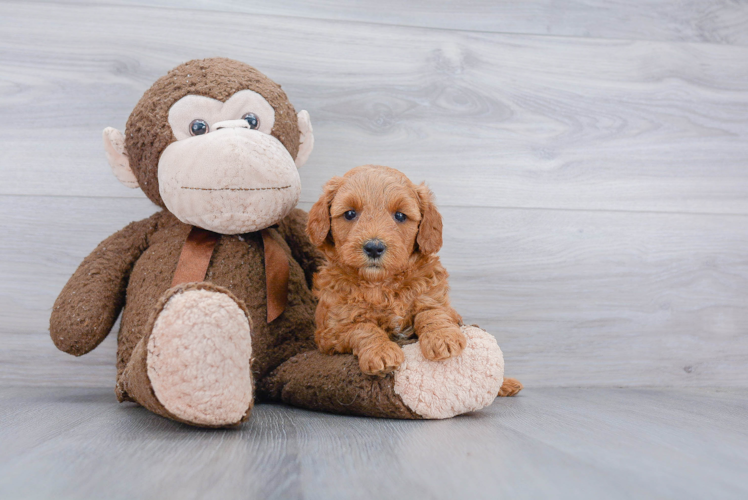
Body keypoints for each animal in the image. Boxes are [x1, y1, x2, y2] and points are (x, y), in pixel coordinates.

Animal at [306, 166, 524, 396]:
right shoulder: (331, 331)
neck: (382, 284)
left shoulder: (436, 298)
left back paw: (507, 384)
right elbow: (363, 328)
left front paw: (443, 338)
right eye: (349, 213)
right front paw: (381, 352)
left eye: (400, 215)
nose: (374, 247)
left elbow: (432, 311)